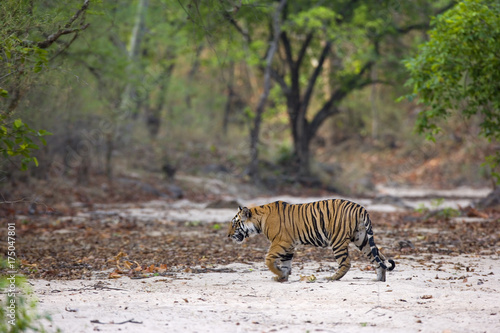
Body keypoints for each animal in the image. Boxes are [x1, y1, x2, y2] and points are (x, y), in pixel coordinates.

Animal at [227, 198, 394, 282]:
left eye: (234, 224)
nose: (228, 235)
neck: (259, 220)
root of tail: (360, 207)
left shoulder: (280, 242)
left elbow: (268, 260)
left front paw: (278, 274)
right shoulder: (289, 245)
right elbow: (286, 263)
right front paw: (282, 276)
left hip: (338, 240)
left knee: (346, 263)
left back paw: (332, 277)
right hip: (362, 239)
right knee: (379, 257)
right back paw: (380, 279)